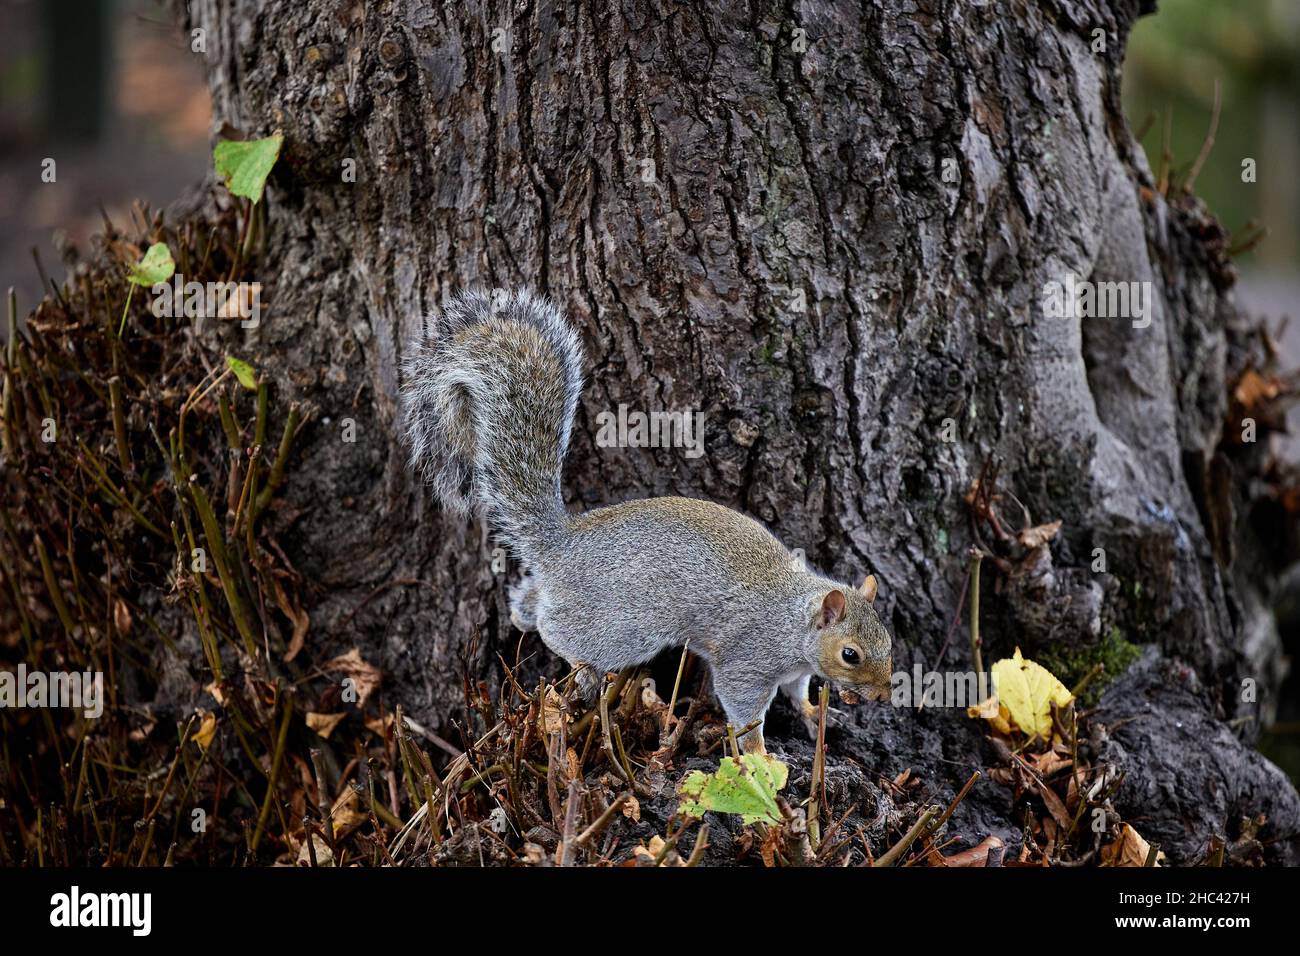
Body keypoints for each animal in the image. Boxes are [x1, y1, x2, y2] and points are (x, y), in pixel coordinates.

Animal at [400, 289, 893, 753]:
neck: (795, 619)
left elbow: (799, 690)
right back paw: (576, 662)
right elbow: (744, 707)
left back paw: (522, 611)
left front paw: (813, 712)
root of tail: (562, 543)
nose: (884, 697)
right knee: (558, 630)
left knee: (534, 601)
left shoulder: (794, 669)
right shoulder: (749, 657)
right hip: (623, 629)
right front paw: (761, 755)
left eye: (888, 641)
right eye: (850, 654)